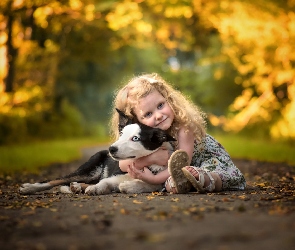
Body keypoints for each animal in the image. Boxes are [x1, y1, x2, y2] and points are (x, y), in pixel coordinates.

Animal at [19, 110, 176, 195]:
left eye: (135, 138)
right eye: (121, 134)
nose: (111, 149)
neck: (144, 165)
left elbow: (153, 183)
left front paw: (130, 186)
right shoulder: (114, 175)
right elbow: (104, 181)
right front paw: (97, 189)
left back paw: (77, 187)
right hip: (89, 169)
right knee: (56, 180)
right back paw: (28, 187)